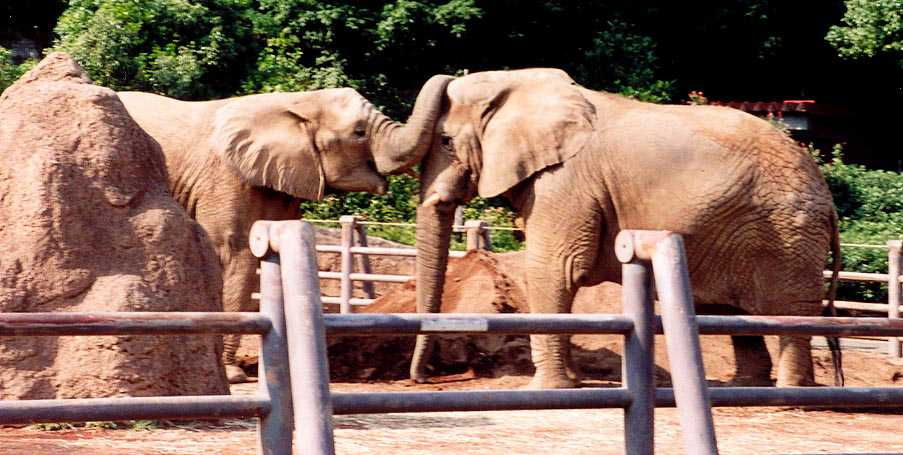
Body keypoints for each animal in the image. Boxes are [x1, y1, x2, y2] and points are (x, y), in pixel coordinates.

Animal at [408, 68, 842, 389]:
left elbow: (555, 268)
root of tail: (827, 195)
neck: (514, 82)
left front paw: (550, 388)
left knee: (789, 316)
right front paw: (572, 382)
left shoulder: (565, 182)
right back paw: (745, 388)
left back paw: (788, 399)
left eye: (445, 141)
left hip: (788, 235)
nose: (423, 379)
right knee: (737, 319)